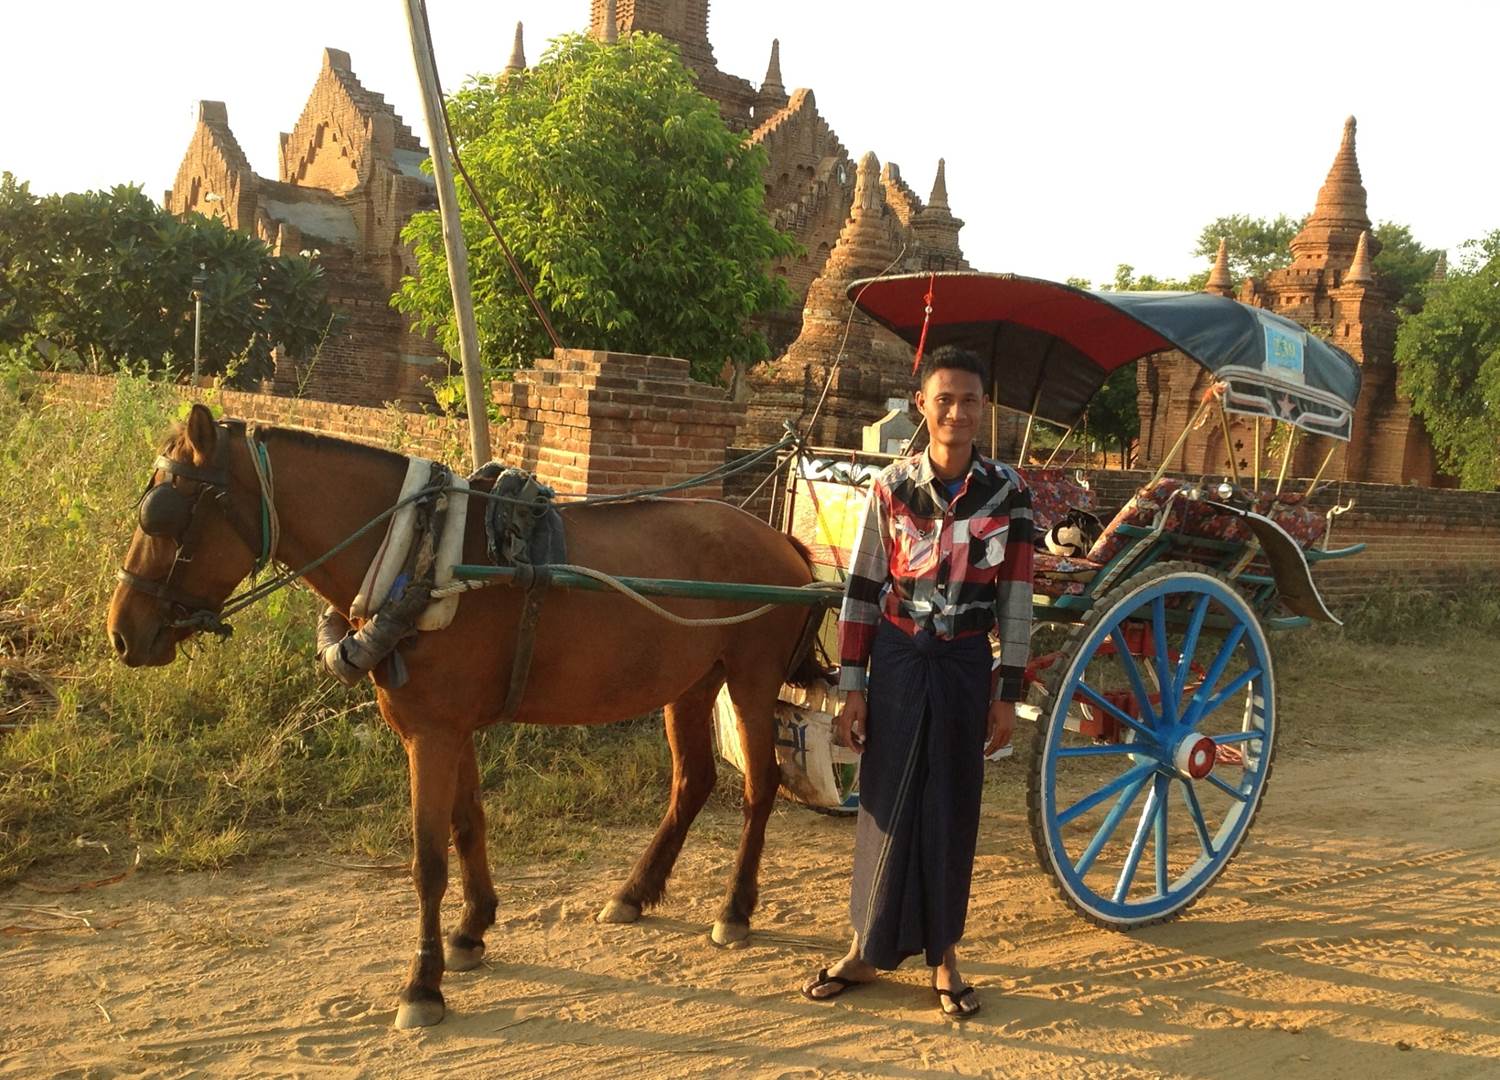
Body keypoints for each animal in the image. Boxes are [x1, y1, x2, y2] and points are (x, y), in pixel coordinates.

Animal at [107, 405, 828, 1032]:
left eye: (163, 514)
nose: (121, 634)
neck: (418, 557)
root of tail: (783, 545)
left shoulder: (432, 734)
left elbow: (428, 858)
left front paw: (422, 985)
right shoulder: (448, 731)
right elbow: (468, 823)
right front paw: (471, 930)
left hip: (751, 682)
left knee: (760, 786)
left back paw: (735, 909)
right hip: (692, 683)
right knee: (693, 782)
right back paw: (634, 892)